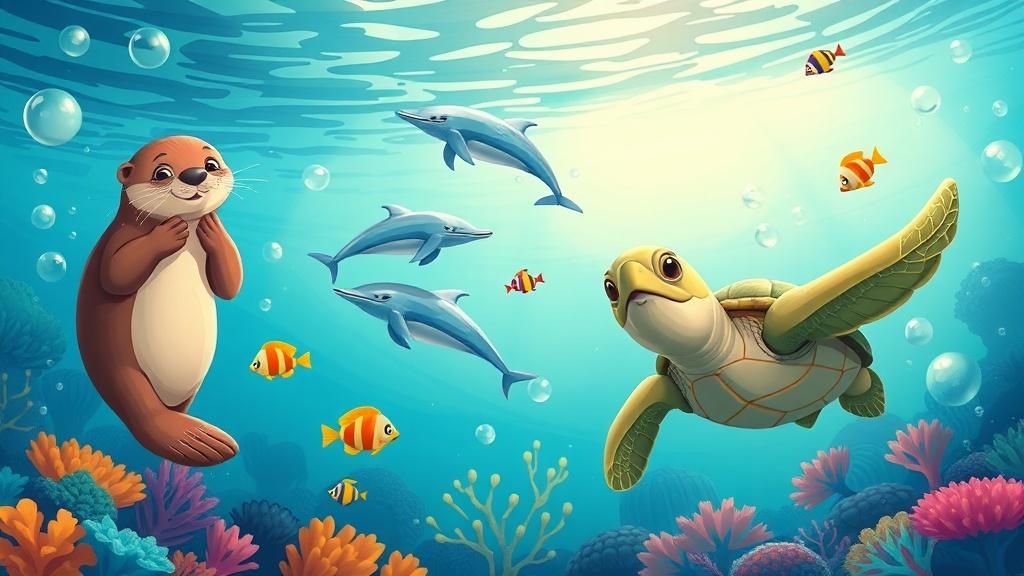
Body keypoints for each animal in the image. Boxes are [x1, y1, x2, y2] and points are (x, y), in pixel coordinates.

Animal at [77, 135, 242, 466]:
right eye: (162, 172)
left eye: (211, 164)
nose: (196, 174)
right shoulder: (118, 237)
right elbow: (116, 274)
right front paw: (167, 234)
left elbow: (230, 284)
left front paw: (213, 228)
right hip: (122, 366)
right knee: (143, 411)